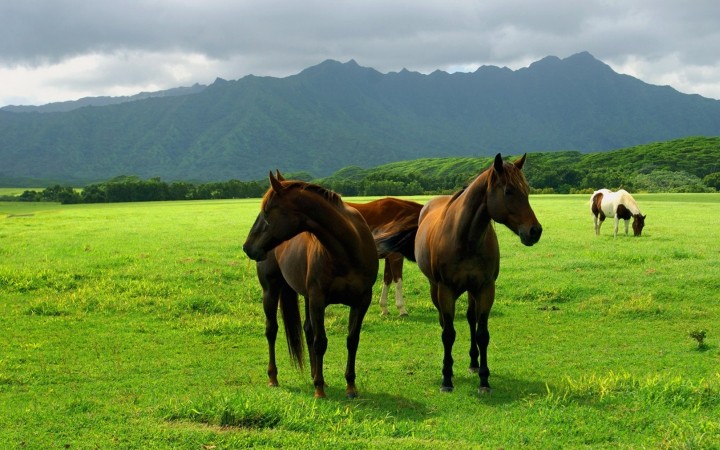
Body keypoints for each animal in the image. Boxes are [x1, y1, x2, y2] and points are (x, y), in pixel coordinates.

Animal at [243, 171, 380, 398]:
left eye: (266, 211)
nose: (247, 247)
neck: (348, 250)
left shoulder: (362, 301)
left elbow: (352, 340)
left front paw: (350, 386)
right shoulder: (318, 299)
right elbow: (320, 342)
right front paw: (319, 389)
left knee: (307, 329)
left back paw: (315, 374)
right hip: (271, 291)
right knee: (272, 330)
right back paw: (274, 377)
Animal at [410, 155, 540, 394]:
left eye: (526, 190)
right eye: (508, 191)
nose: (535, 231)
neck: (465, 238)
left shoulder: (485, 288)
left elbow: (482, 334)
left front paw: (484, 380)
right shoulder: (446, 290)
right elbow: (448, 334)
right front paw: (446, 379)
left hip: (471, 290)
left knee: (471, 319)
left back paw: (473, 362)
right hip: (435, 288)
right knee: (444, 323)